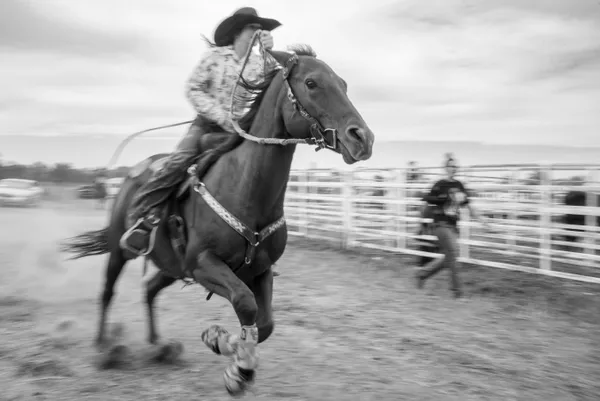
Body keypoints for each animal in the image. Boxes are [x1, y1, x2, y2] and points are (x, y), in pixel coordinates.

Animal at [61, 44, 378, 394]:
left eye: (344, 84)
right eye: (311, 83)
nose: (362, 138)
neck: (245, 190)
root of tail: (128, 178)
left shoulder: (260, 270)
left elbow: (265, 323)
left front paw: (224, 347)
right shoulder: (204, 263)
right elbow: (245, 303)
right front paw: (234, 363)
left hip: (172, 266)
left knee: (149, 290)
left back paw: (159, 345)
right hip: (123, 250)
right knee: (108, 290)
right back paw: (104, 348)